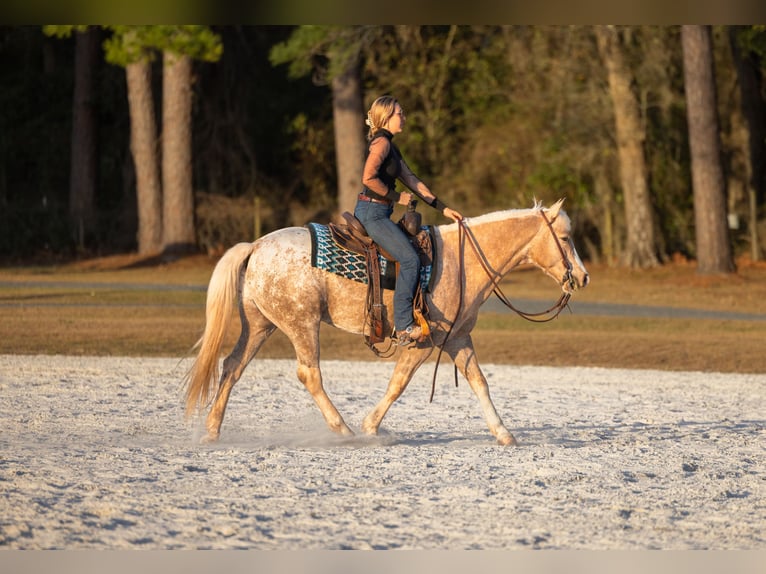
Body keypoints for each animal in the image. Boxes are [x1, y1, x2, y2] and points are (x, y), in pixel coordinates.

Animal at [184, 199, 589, 446]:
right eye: (565, 237)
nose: (582, 277)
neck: (461, 261)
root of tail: (254, 246)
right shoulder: (425, 341)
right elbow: (399, 383)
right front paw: (370, 427)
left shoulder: (457, 338)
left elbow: (480, 383)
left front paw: (504, 434)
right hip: (302, 324)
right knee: (309, 374)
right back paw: (344, 429)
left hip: (260, 325)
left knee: (232, 366)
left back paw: (212, 431)